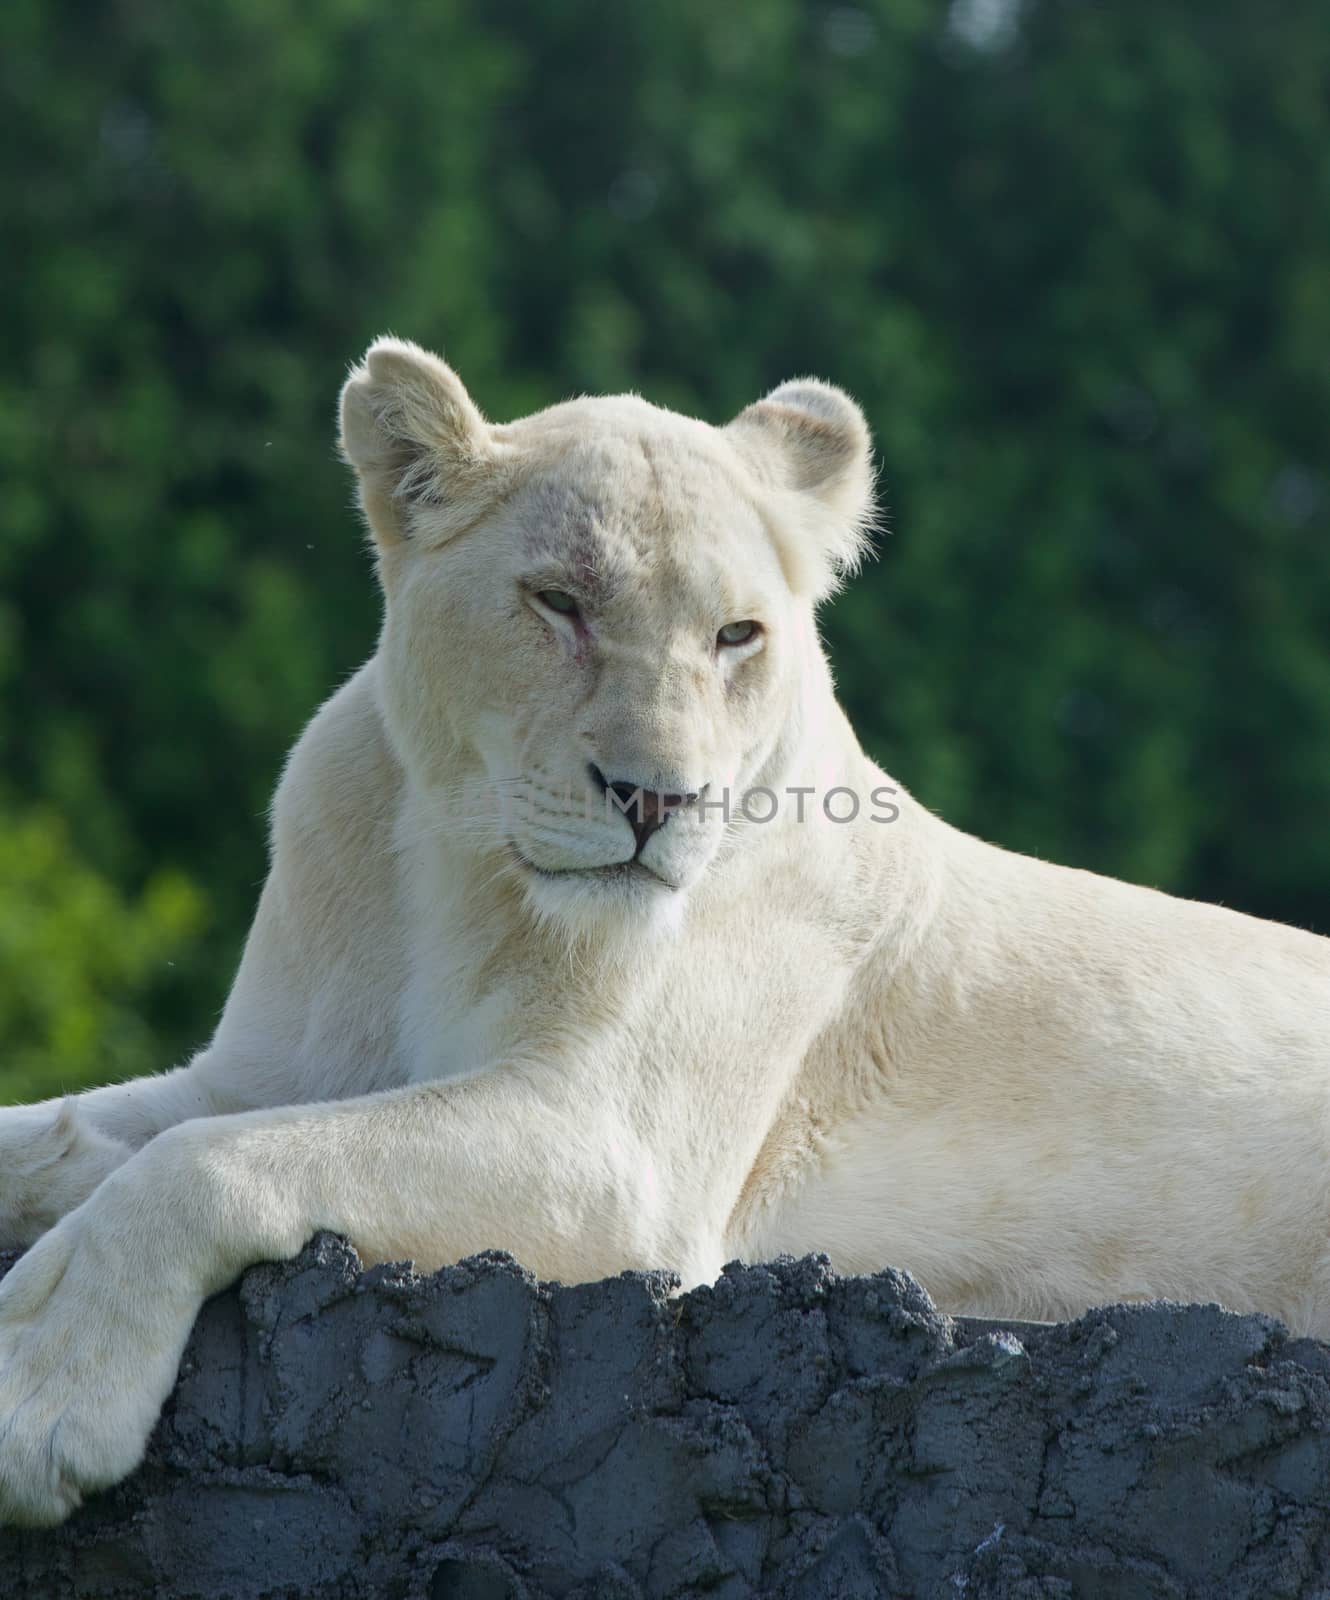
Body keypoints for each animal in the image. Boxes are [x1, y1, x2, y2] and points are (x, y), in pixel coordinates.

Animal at [2, 340, 1330, 1523]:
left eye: (736, 634)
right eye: (558, 602)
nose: (656, 798)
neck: (455, 871)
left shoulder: (613, 1151)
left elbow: (210, 1161)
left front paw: (46, 1393)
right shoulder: (263, 1068)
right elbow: (100, 1133)